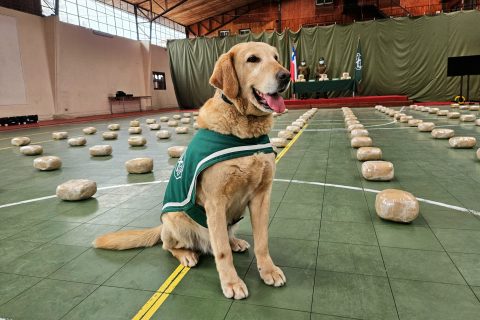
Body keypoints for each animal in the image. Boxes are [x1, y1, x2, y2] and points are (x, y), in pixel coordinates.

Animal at [93, 42, 288, 300]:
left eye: (276, 57)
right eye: (253, 59)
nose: (286, 75)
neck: (245, 131)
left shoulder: (262, 196)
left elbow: (262, 241)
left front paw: (268, 270)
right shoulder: (216, 202)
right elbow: (221, 251)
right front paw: (231, 282)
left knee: (224, 238)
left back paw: (236, 242)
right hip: (176, 220)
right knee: (170, 246)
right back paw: (187, 254)